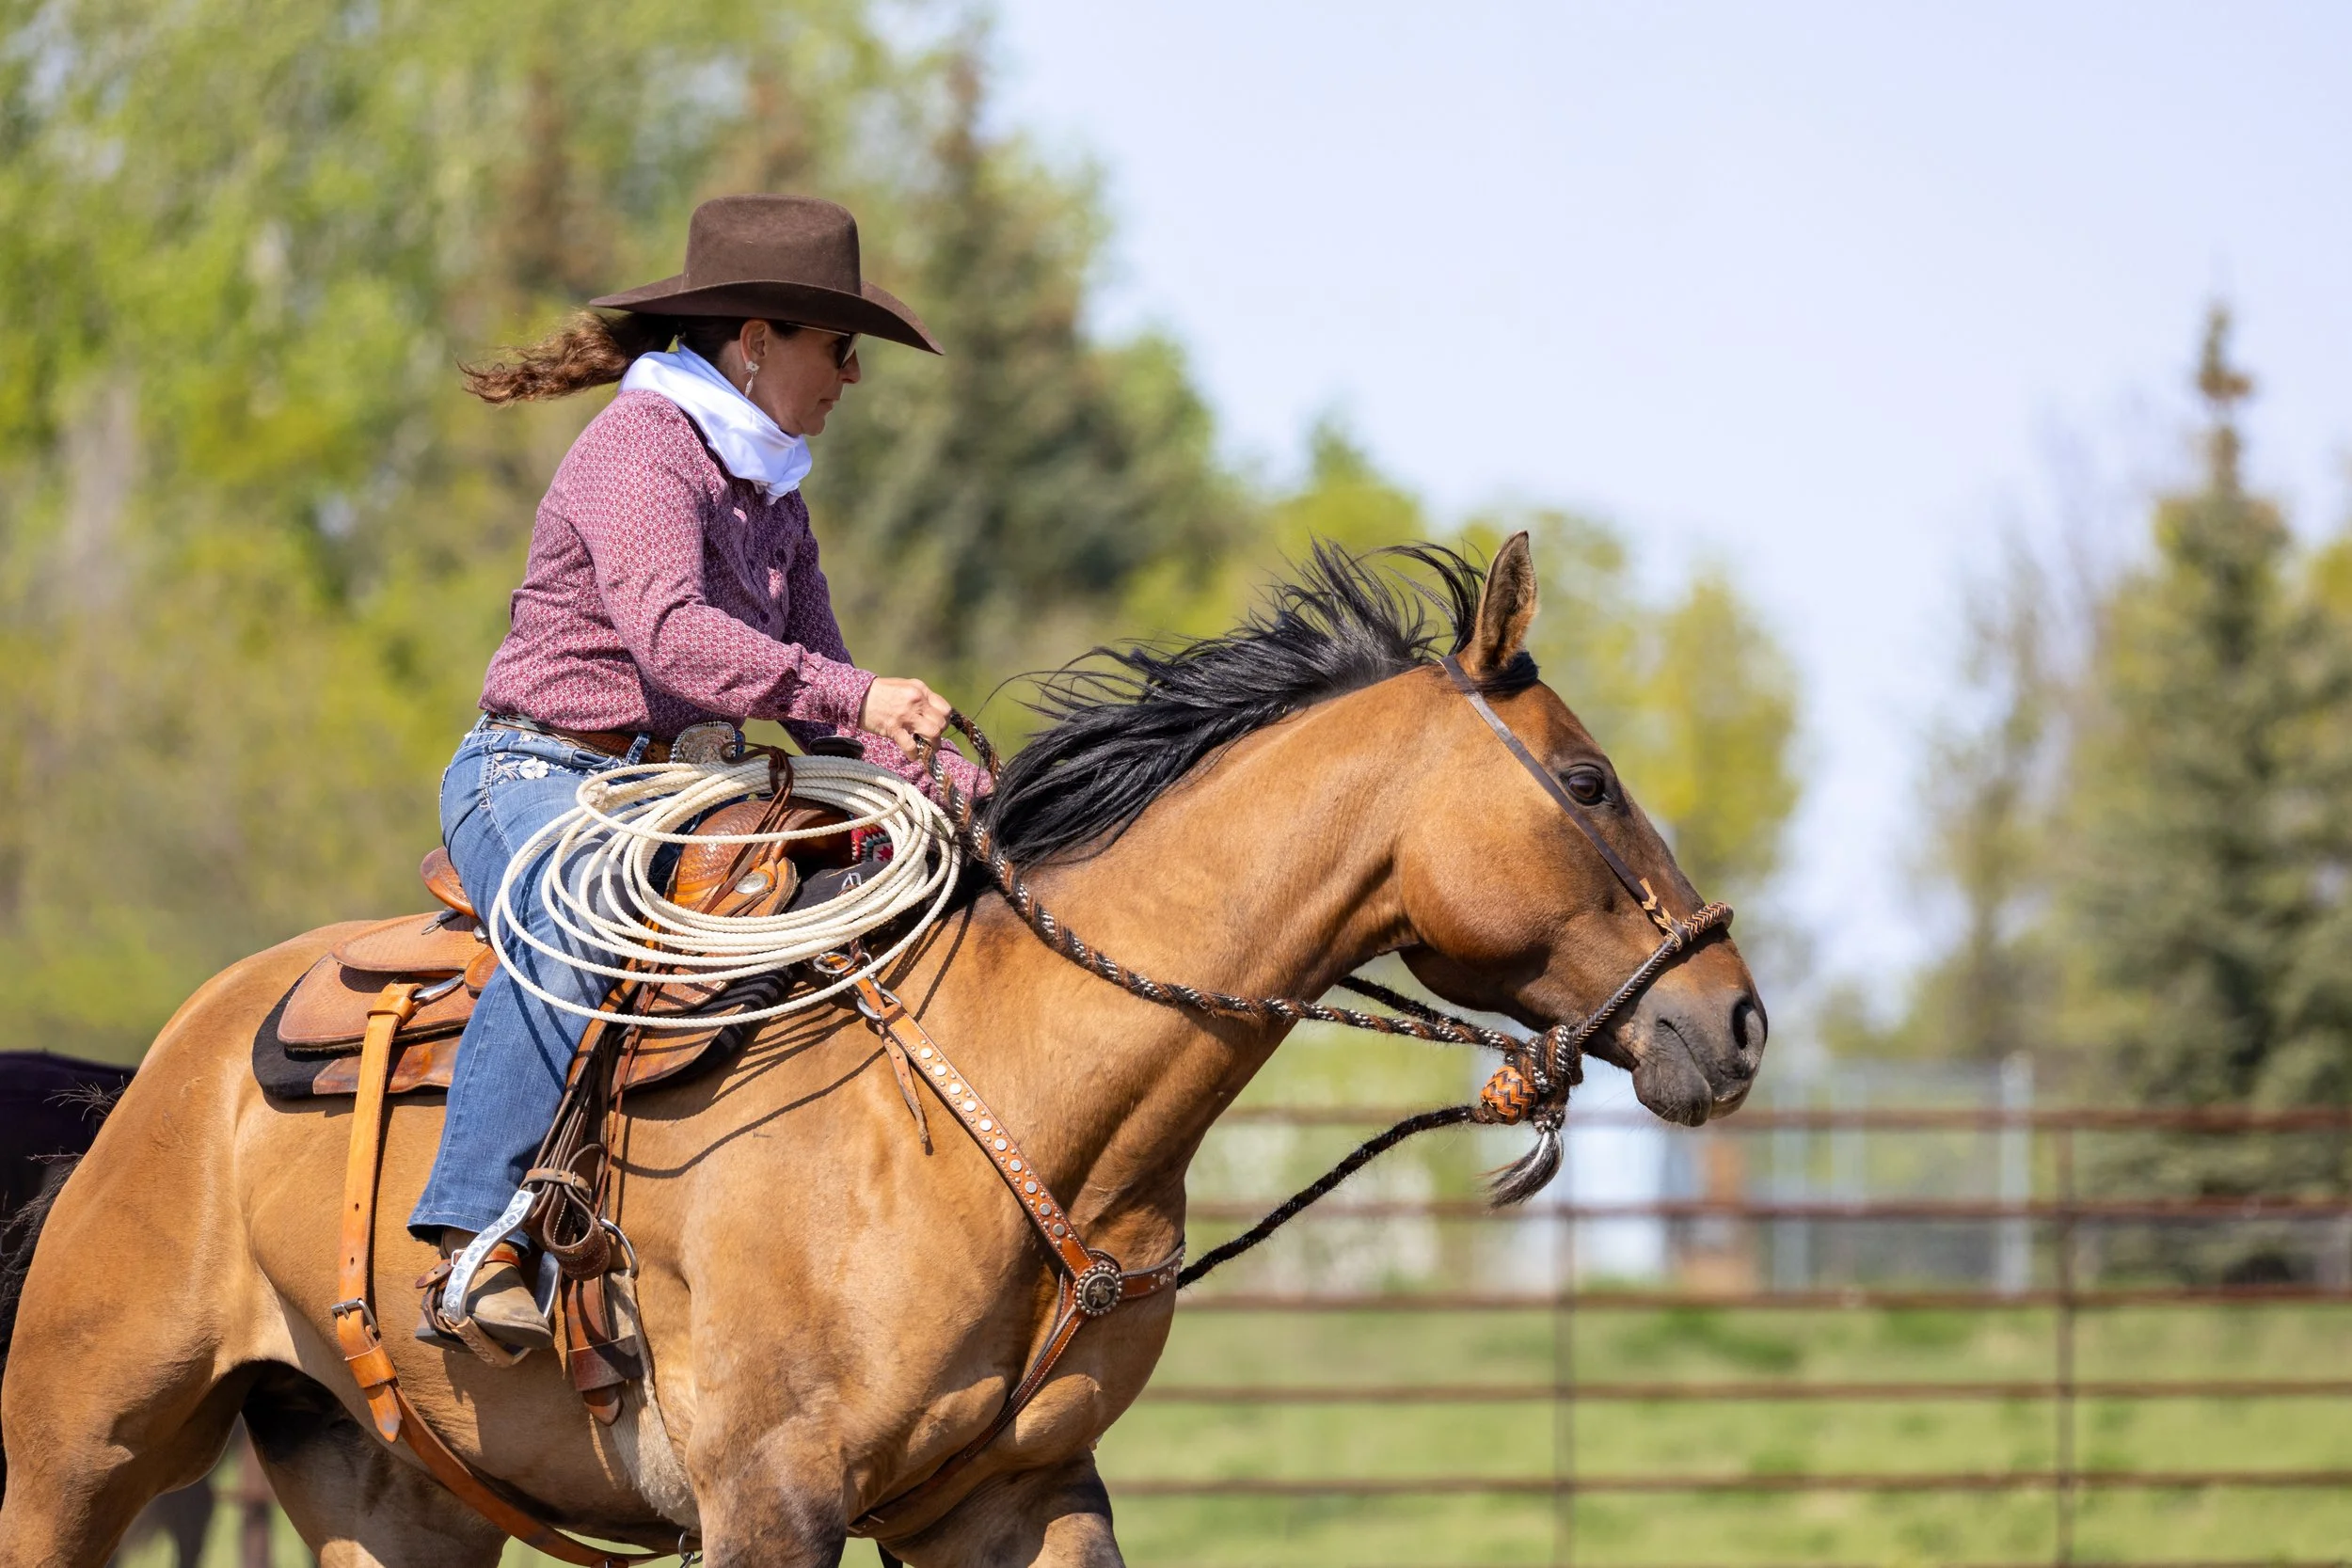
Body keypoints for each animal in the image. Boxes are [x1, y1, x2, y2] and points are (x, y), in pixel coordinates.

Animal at [0, 535, 1766, 1567]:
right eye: (1589, 781)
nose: (1735, 1017)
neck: (1014, 1100)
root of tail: (154, 1075)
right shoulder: (770, 1502)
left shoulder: (1018, 1497)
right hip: (80, 1452)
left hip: (397, 1496)